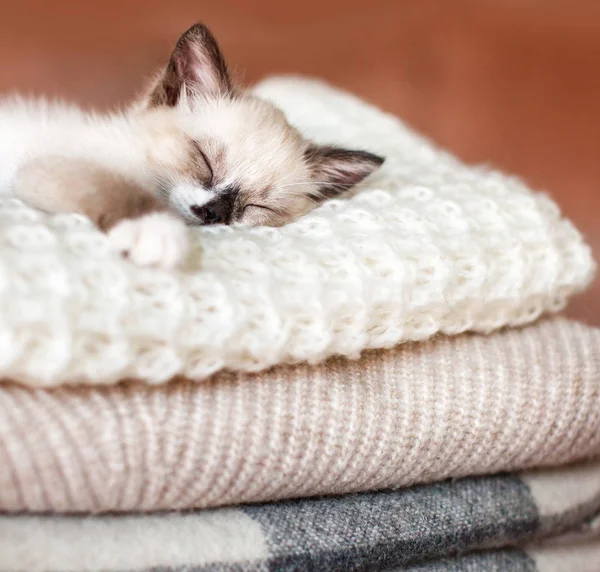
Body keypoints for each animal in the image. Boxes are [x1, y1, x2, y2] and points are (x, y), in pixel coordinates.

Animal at [0, 23, 384, 270]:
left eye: (259, 206)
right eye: (204, 160)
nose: (212, 213)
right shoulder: (42, 169)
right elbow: (114, 188)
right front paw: (156, 233)